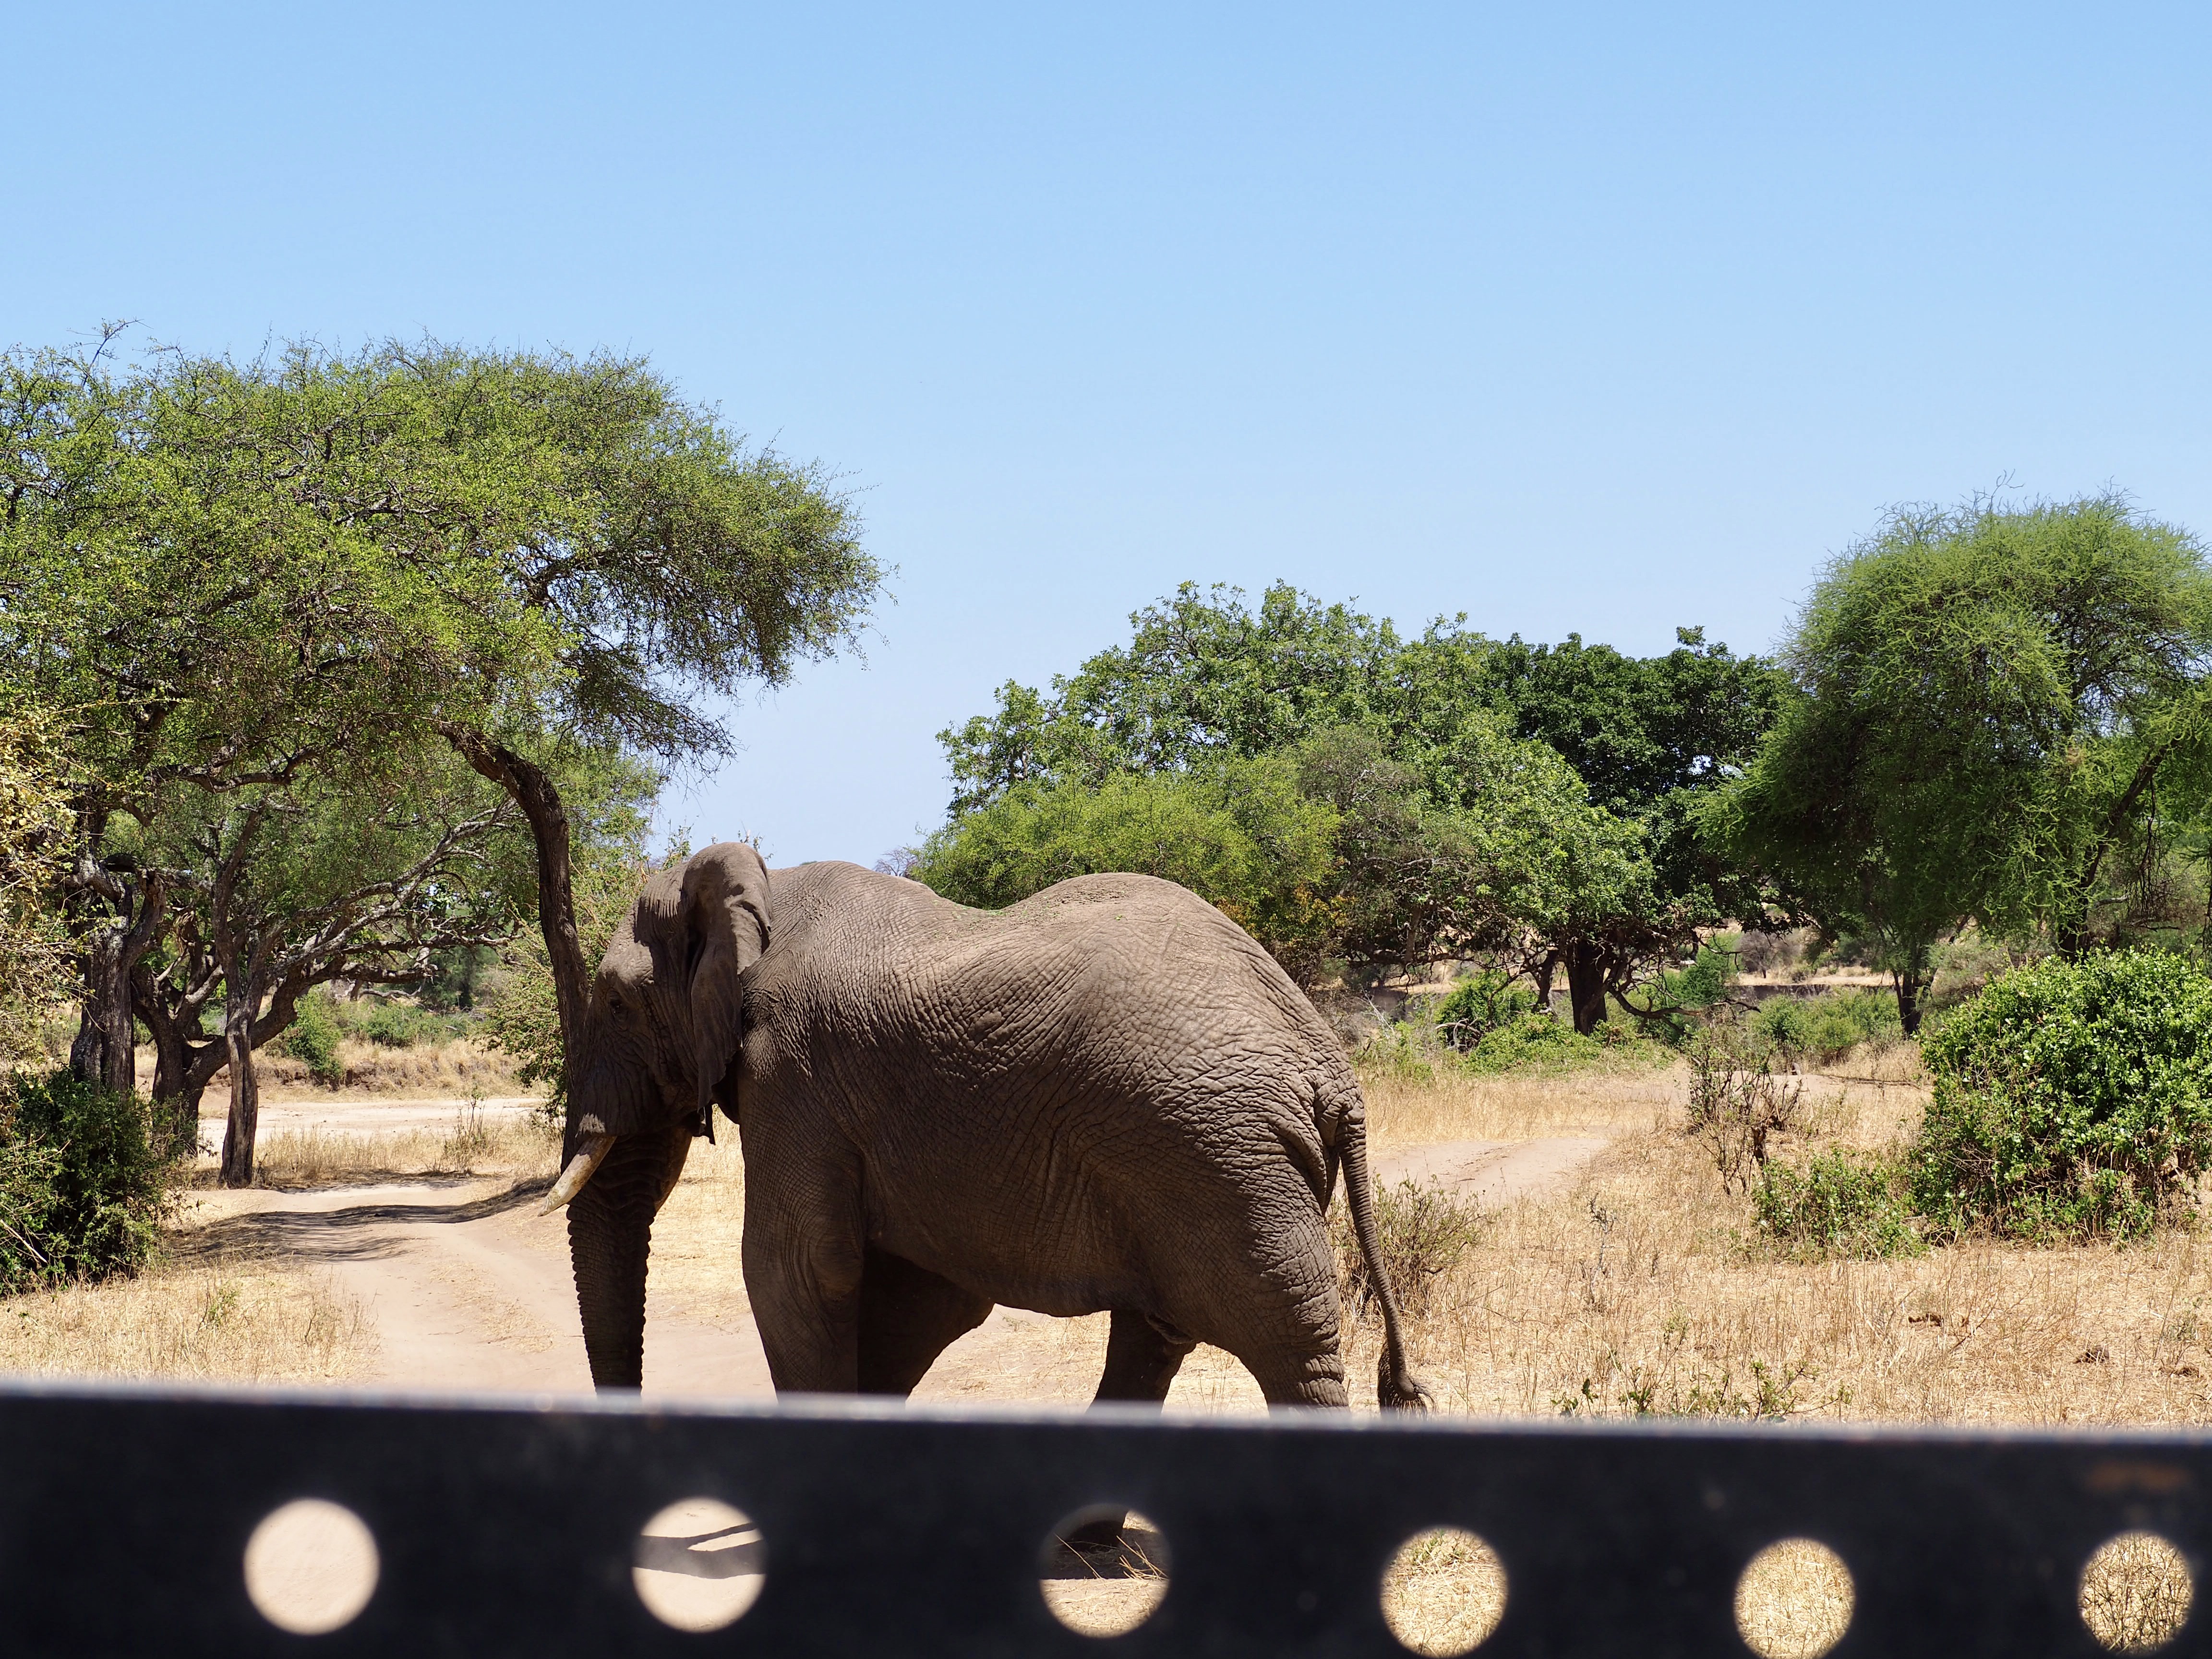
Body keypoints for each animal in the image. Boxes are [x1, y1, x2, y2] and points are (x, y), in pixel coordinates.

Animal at [544, 845, 1424, 1416]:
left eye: (616, 1002)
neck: (766, 883)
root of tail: (1329, 1064)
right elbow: (919, 1292)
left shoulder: (794, 1076)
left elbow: (796, 1267)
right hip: (1197, 1156)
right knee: (1161, 1330)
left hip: (1216, 1153)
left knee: (1283, 1337)